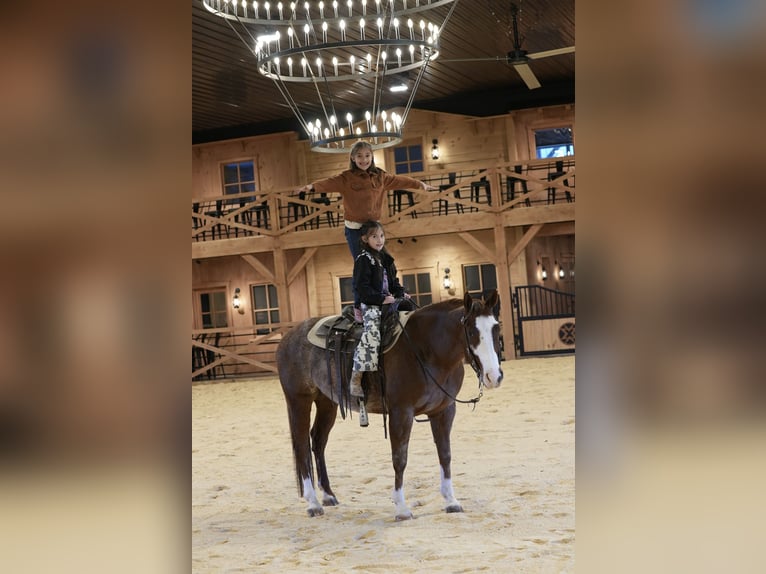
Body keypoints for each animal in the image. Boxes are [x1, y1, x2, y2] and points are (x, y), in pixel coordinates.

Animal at [276, 290, 504, 520]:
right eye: (471, 331)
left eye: (496, 328)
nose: (493, 376)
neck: (426, 349)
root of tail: (288, 337)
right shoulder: (401, 412)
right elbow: (399, 458)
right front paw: (402, 509)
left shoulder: (444, 410)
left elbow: (445, 454)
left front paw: (451, 501)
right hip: (299, 400)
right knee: (302, 446)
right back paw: (313, 503)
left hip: (327, 402)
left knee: (318, 441)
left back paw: (328, 495)